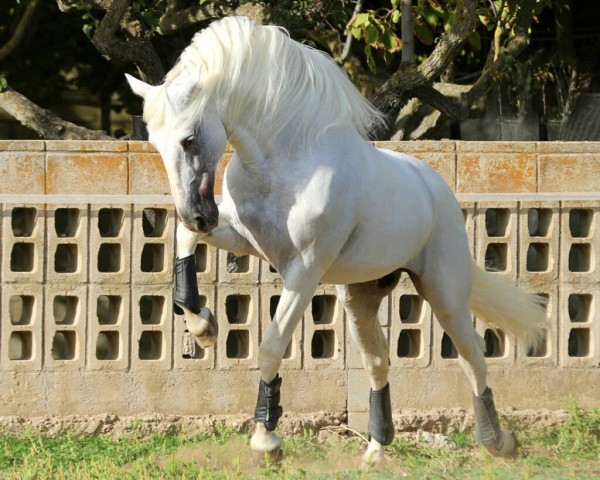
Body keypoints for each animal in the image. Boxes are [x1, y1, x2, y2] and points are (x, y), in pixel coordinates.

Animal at [127, 15, 548, 468]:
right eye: (154, 142)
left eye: (188, 139)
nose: (198, 213)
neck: (283, 164)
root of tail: (437, 190)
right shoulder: (243, 238)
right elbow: (184, 239)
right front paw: (202, 325)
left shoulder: (304, 272)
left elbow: (271, 348)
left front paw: (266, 442)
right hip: (360, 297)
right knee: (378, 362)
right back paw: (376, 451)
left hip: (444, 292)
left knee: (472, 357)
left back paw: (499, 442)